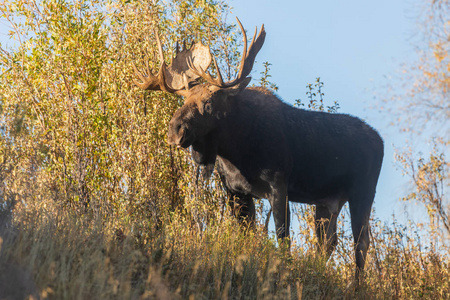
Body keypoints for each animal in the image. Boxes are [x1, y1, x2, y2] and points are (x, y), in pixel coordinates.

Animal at [133, 18, 384, 278]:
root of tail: (380, 140)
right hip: (327, 202)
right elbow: (247, 235)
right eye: (183, 100)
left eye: (208, 103)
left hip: (363, 192)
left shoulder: (279, 186)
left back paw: (357, 283)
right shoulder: (235, 191)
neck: (235, 153)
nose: (175, 130)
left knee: (360, 243)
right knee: (328, 243)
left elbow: (283, 238)